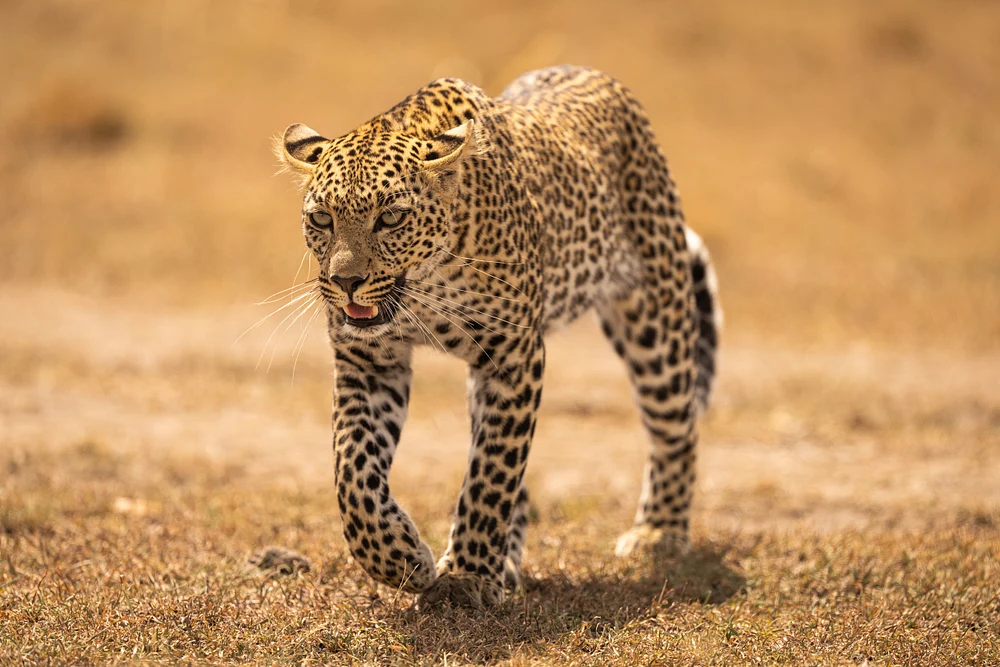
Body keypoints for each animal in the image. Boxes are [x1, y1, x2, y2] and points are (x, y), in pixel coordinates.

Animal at [275, 65, 721, 609]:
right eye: (321, 219)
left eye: (391, 217)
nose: (345, 282)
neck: (428, 282)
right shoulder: (369, 361)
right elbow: (353, 471)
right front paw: (402, 559)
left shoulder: (513, 357)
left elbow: (491, 475)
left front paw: (468, 575)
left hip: (655, 316)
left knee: (675, 427)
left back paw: (659, 533)